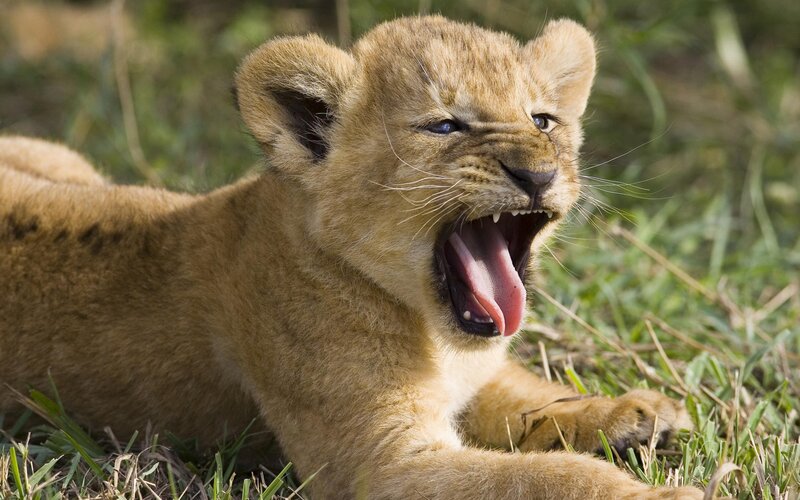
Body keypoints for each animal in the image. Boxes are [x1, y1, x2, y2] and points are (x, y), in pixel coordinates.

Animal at [0, 16, 703, 498]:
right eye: (445, 126)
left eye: (543, 120)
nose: (537, 174)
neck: (432, 332)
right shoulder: (380, 464)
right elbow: (545, 477)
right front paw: (662, 493)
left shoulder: (476, 378)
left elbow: (534, 397)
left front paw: (635, 414)